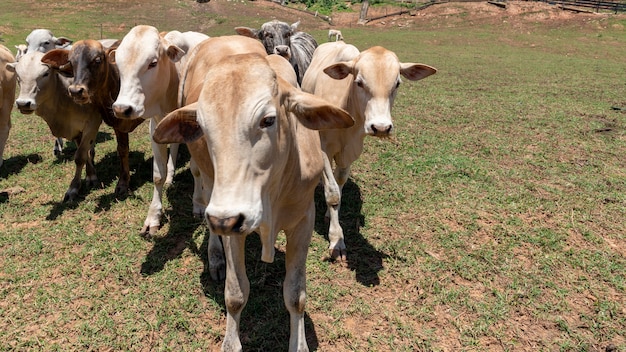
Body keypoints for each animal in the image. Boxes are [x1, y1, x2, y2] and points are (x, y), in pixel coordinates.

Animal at [6, 52, 101, 201]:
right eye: (18, 75)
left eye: (45, 73)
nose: (23, 104)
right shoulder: (75, 130)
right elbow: (83, 153)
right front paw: (90, 175)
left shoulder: (92, 123)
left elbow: (80, 157)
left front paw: (75, 187)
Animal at [109, 26, 193, 236]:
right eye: (119, 66)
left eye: (152, 63)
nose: (121, 108)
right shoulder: (155, 128)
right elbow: (157, 175)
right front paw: (153, 217)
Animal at [153, 51, 354, 352]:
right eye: (203, 127)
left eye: (268, 120)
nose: (223, 218)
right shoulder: (231, 224)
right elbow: (236, 294)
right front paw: (231, 341)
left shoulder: (303, 221)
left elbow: (296, 295)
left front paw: (299, 343)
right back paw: (215, 258)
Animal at [300, 41, 436, 262]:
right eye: (359, 82)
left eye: (397, 84)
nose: (381, 127)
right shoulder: (323, 148)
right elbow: (332, 193)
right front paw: (336, 240)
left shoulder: (350, 152)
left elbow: (339, 184)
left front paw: (332, 218)